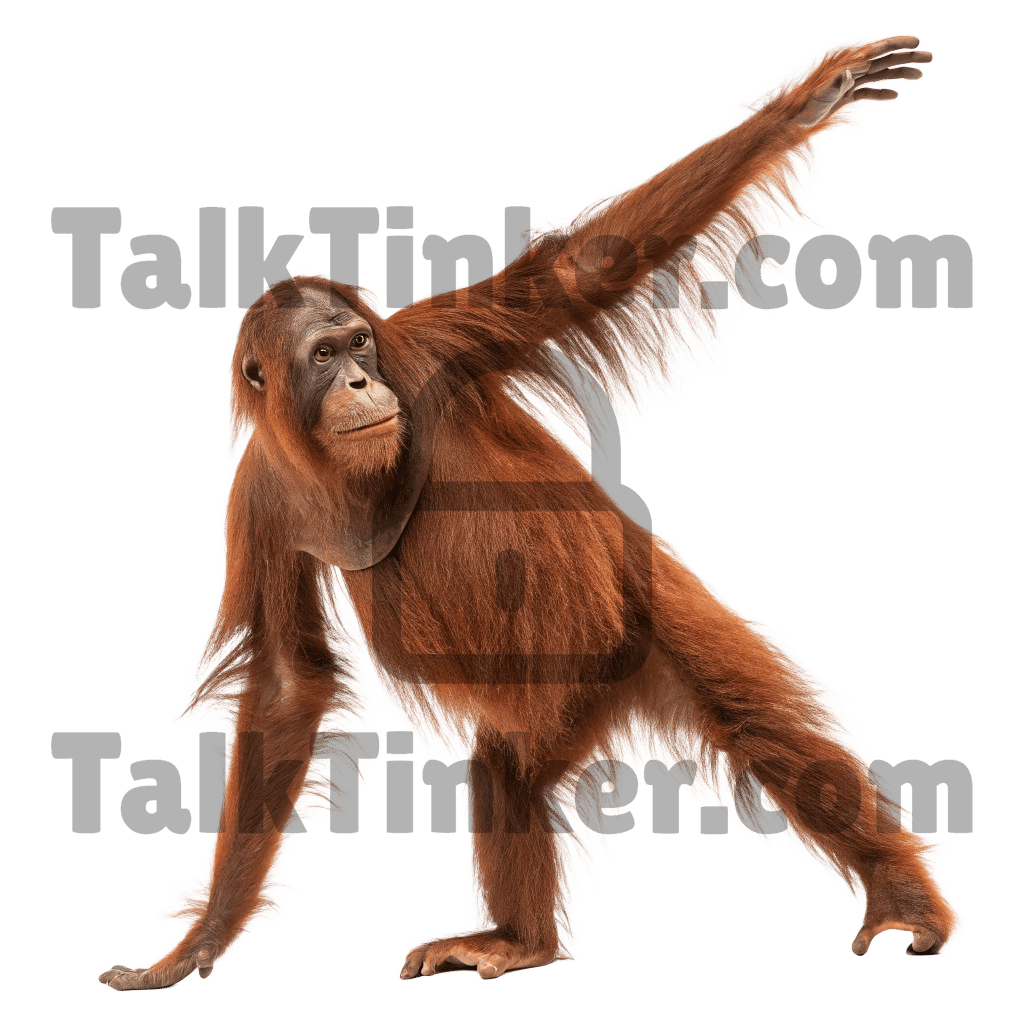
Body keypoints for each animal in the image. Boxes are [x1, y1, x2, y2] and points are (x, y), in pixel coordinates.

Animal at [99, 34, 963, 991]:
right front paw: (198, 945)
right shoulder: (255, 499)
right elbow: (287, 683)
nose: (360, 383)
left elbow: (585, 271)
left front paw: (813, 97)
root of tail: (596, 707)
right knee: (508, 769)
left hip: (643, 616)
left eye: (359, 345)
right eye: (323, 358)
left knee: (759, 719)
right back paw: (519, 942)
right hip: (540, 701)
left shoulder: (433, 343)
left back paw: (902, 901)